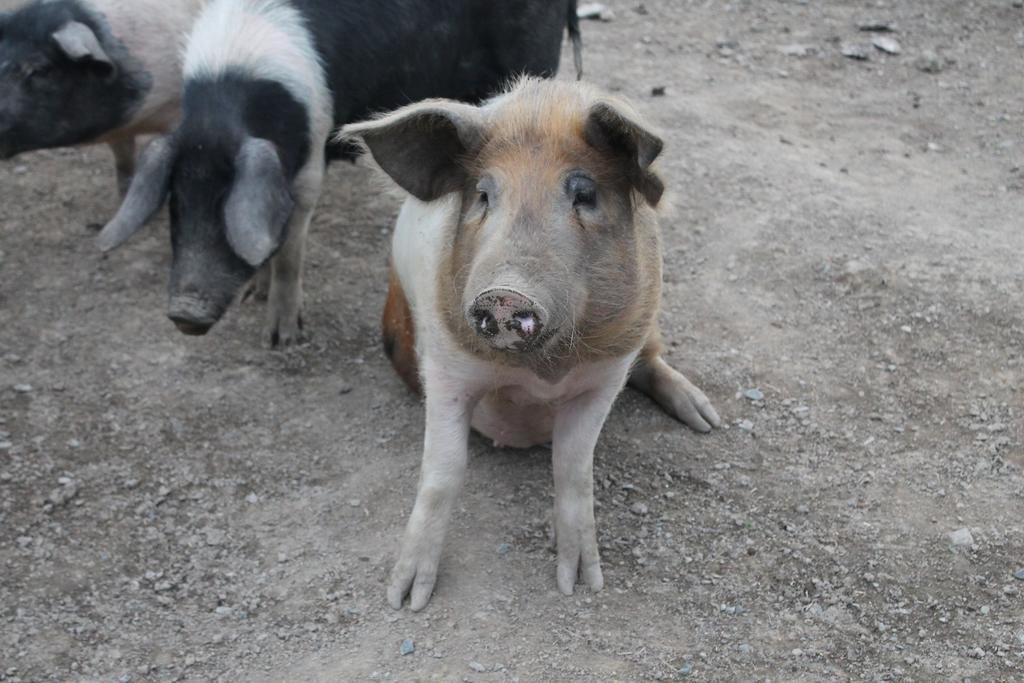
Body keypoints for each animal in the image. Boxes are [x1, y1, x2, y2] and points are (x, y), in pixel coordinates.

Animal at [96, 0, 585, 348]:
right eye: (176, 203)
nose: (185, 313)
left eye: (225, 204)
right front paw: (254, 294)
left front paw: (282, 339)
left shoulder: (310, 160)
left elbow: (290, 252)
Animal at [342, 77, 720, 610]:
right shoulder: (444, 367)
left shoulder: (607, 375)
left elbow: (573, 468)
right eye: (483, 195)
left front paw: (580, 584)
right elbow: (442, 472)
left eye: (584, 193)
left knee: (654, 364)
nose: (504, 293)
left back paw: (707, 420)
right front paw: (405, 599)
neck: (538, 374)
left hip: (647, 330)